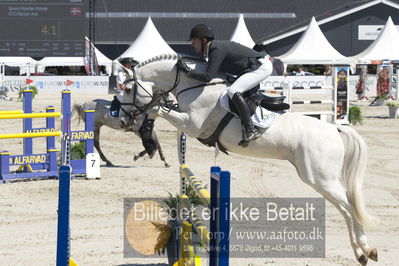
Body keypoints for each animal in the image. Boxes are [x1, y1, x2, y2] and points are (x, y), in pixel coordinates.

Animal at [121, 53, 378, 264]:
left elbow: (157, 109)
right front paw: (147, 139)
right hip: (319, 179)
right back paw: (361, 253)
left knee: (350, 205)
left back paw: (367, 249)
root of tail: (335, 129)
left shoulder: (192, 125)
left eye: (126, 89)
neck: (193, 86)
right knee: (346, 207)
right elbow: (157, 109)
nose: (123, 120)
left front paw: (147, 134)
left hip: (320, 178)